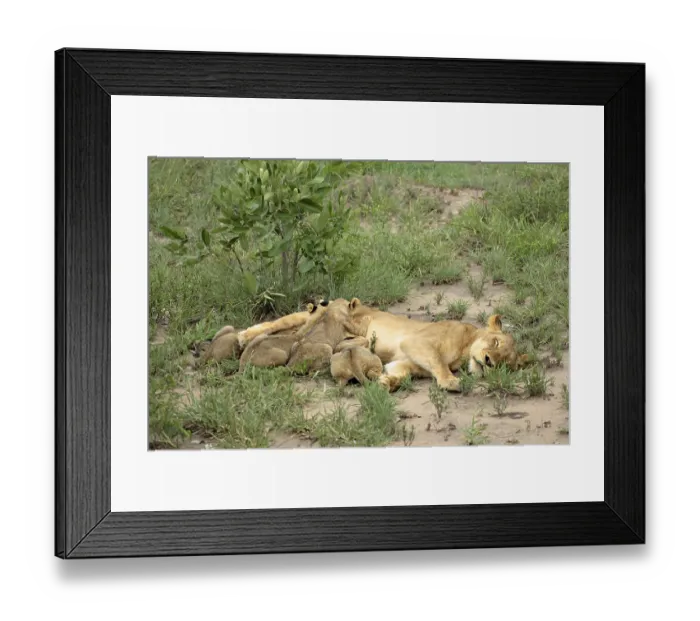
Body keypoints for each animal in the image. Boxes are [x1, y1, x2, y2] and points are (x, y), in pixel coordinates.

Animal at [346, 298, 528, 392]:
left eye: (504, 363)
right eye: (496, 342)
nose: (489, 361)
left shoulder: (404, 364)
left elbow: (402, 375)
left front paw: (387, 382)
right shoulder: (416, 341)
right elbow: (439, 362)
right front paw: (451, 381)